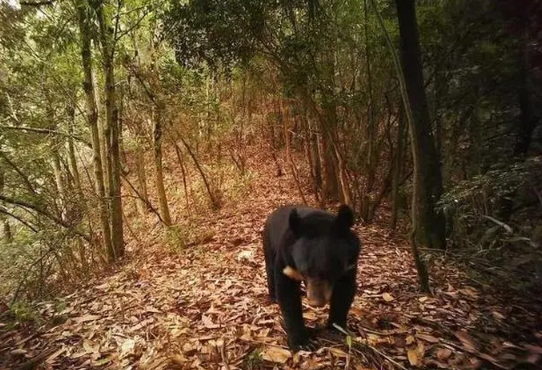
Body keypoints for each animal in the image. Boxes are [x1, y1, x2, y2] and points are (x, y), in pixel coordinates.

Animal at [264, 205, 362, 350]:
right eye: (305, 272)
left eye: (331, 271)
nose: (317, 303)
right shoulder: (286, 260)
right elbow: (287, 295)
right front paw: (302, 343)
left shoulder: (350, 264)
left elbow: (344, 293)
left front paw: (337, 329)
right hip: (268, 242)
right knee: (270, 269)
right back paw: (273, 297)